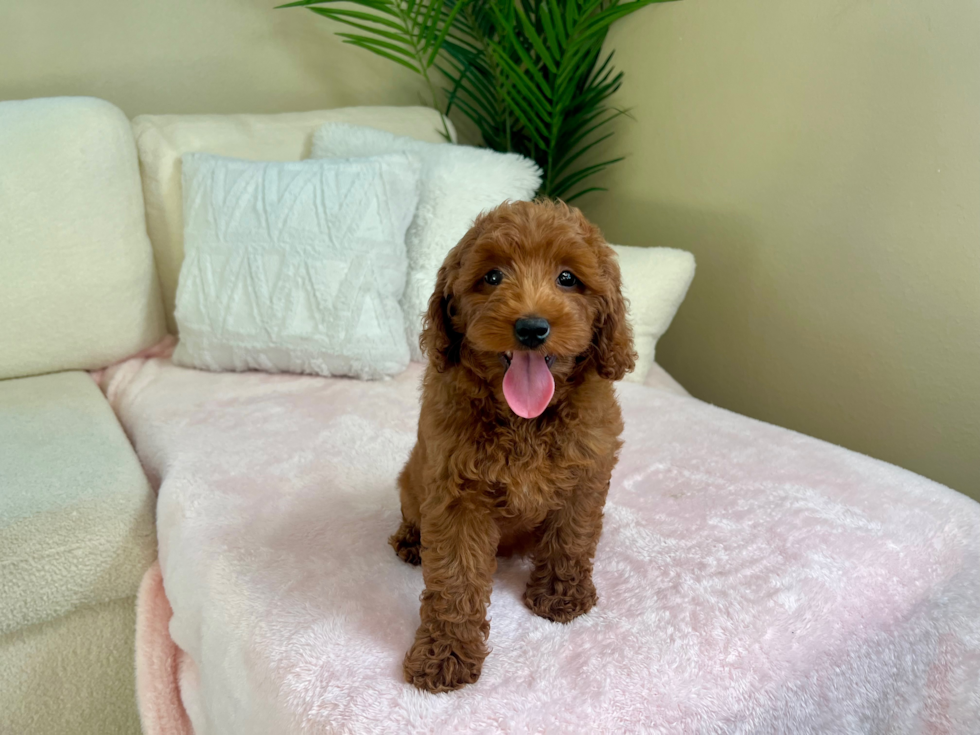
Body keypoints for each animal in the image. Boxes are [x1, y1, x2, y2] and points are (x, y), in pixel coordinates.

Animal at [390, 198, 636, 692]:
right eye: (492, 277)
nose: (532, 328)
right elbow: (456, 579)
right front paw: (445, 655)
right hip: (411, 480)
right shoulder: (457, 497)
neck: (525, 420)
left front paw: (562, 597)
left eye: (567, 278)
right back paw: (411, 541)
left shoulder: (586, 474)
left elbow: (572, 539)